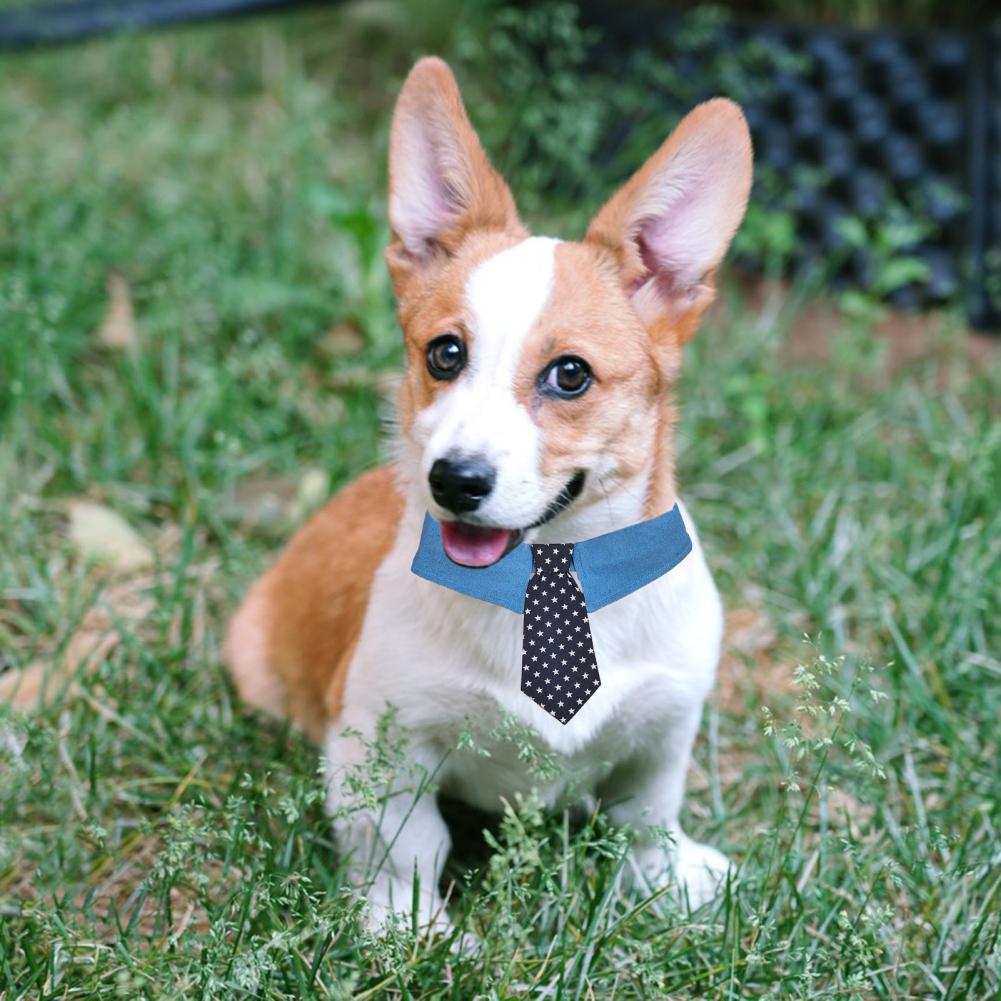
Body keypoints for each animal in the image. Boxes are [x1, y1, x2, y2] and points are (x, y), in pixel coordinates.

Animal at [227, 56, 752, 928]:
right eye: (444, 353)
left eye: (569, 374)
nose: (454, 480)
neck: (544, 581)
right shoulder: (382, 739)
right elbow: (408, 847)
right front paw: (409, 929)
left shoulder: (665, 725)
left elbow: (647, 811)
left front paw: (668, 878)